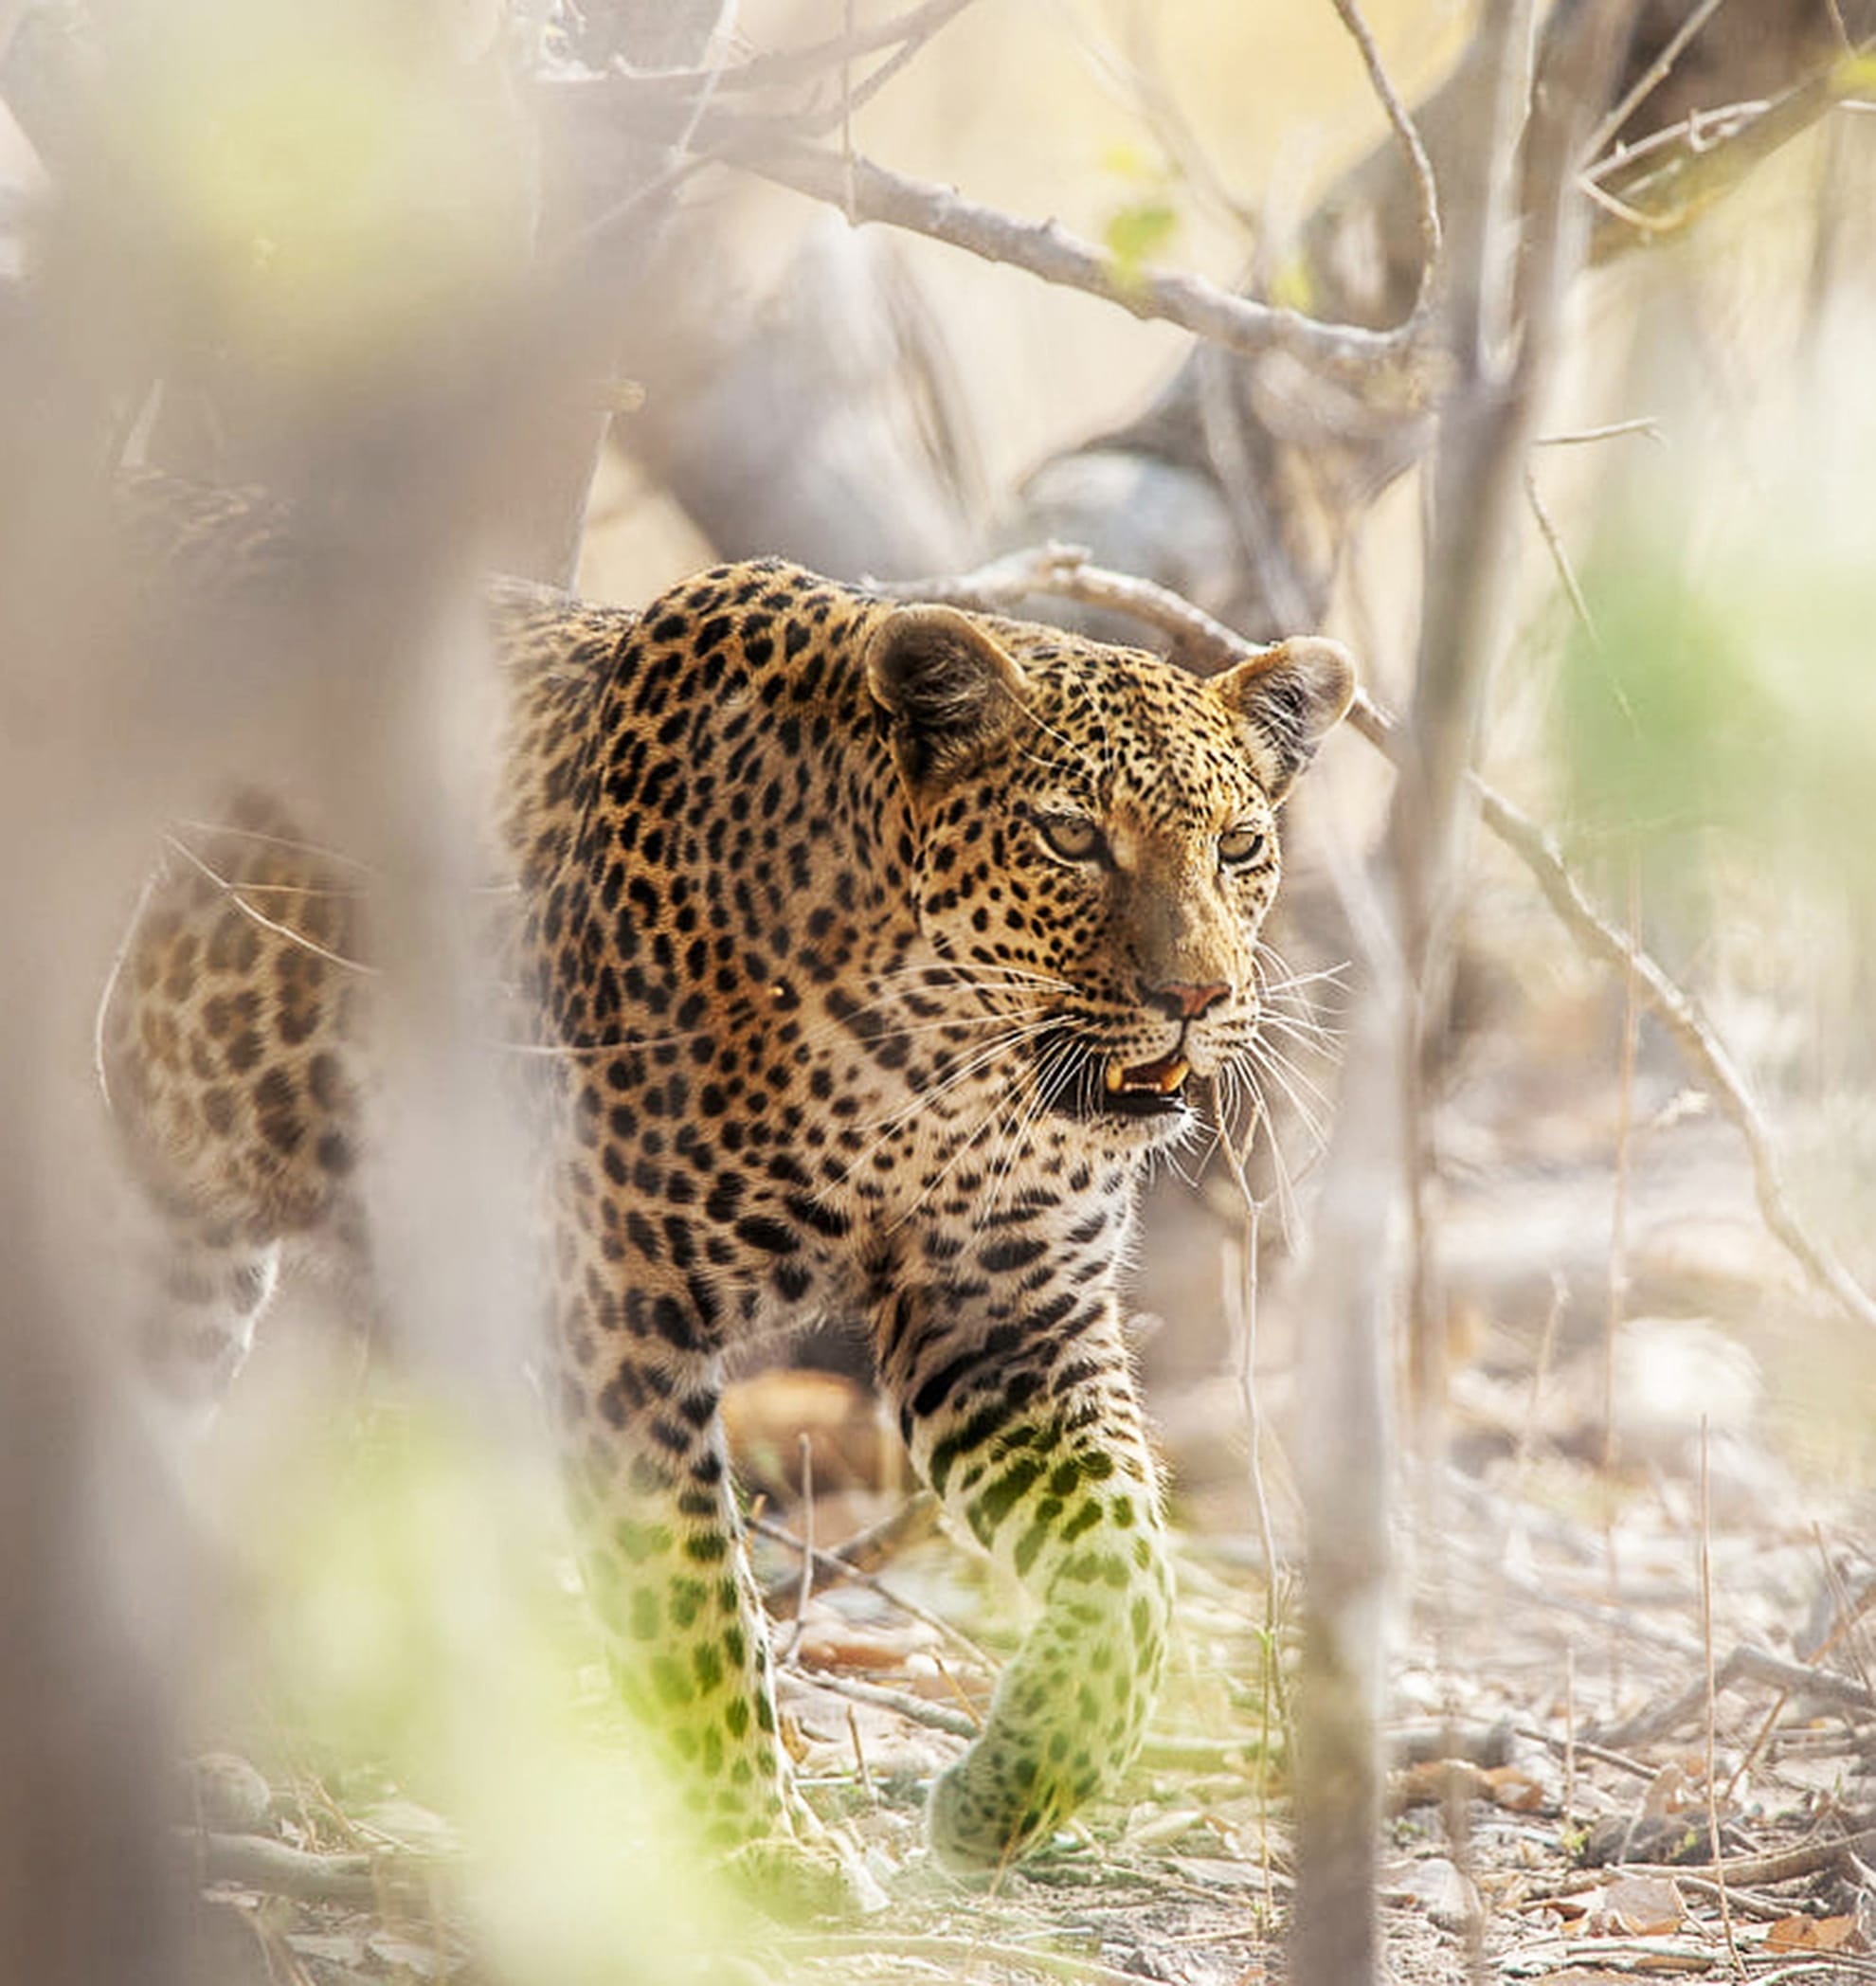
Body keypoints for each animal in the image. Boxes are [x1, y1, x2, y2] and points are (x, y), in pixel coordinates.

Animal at [100, 490, 1354, 1886]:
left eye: (1239, 847)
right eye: (1070, 837)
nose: (1196, 994)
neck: (938, 1071)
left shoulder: (1007, 1317)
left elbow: (1133, 1567)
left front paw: (1001, 1796)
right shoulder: (619, 1307)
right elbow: (691, 1596)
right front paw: (764, 1846)